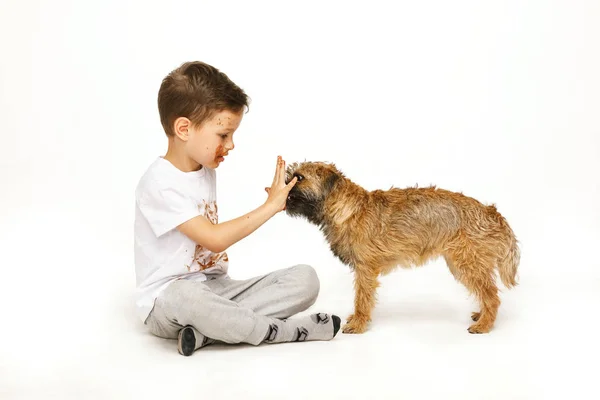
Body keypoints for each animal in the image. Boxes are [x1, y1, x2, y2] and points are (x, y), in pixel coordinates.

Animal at [284, 162, 516, 334]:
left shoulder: (365, 269)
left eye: (299, 177)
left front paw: (358, 323)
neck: (347, 208)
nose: (284, 183)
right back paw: (481, 315)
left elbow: (362, 298)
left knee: (492, 296)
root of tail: (491, 212)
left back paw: (484, 324)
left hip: (467, 264)